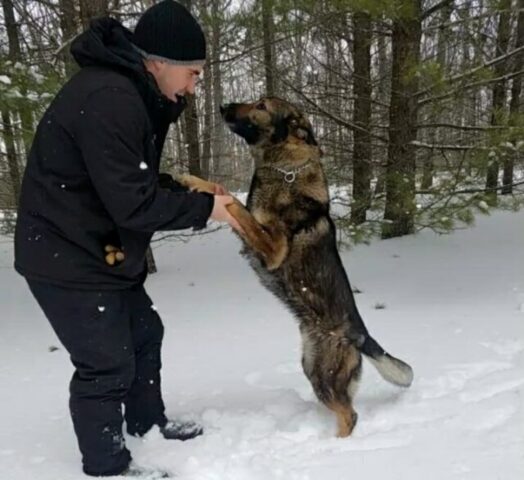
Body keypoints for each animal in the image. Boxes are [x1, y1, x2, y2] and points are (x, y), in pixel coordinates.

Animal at [180, 98, 414, 438]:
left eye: (261, 105)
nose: (223, 106)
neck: (284, 170)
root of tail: (361, 334)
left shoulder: (273, 248)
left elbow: (235, 204)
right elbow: (221, 189)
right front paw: (192, 180)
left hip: (326, 376)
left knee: (350, 415)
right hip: (312, 368)